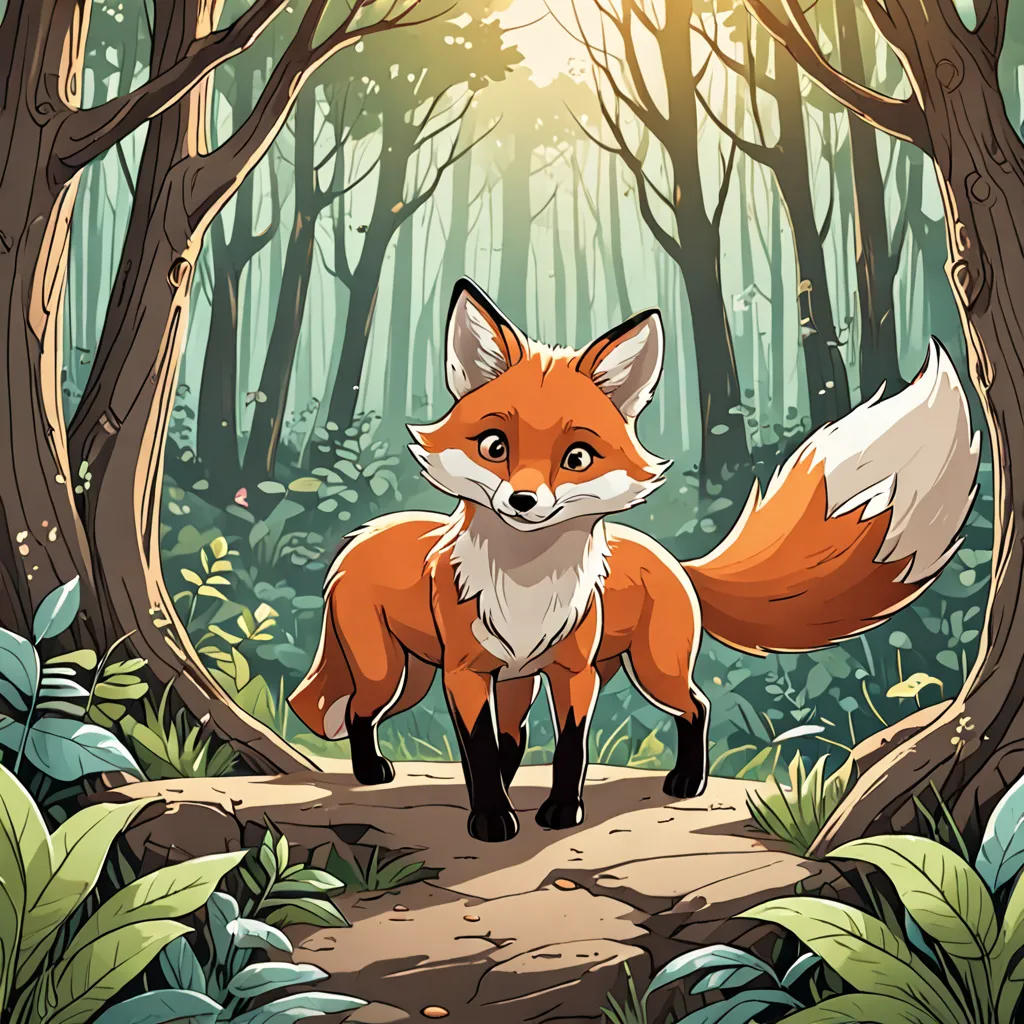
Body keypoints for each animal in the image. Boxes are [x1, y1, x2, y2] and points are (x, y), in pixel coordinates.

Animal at [289, 277, 979, 843]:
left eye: (576, 458)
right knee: (365, 712)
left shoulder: (573, 671)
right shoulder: (465, 672)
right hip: (400, 671)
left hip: (648, 668)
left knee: (696, 707)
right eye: (494, 446)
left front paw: (559, 812)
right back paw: (374, 771)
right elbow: (481, 750)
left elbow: (567, 748)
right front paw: (491, 817)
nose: (522, 500)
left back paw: (687, 782)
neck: (527, 588)